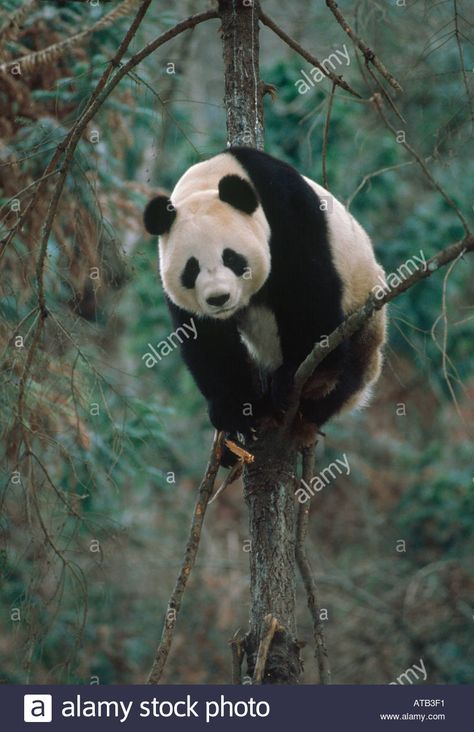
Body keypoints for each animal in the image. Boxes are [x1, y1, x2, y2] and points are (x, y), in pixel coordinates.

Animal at [143, 147, 386, 446]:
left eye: (231, 258)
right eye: (191, 268)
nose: (219, 298)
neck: (208, 181)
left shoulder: (288, 211)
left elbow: (306, 289)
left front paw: (298, 376)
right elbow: (206, 337)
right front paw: (235, 410)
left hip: (364, 313)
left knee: (351, 367)